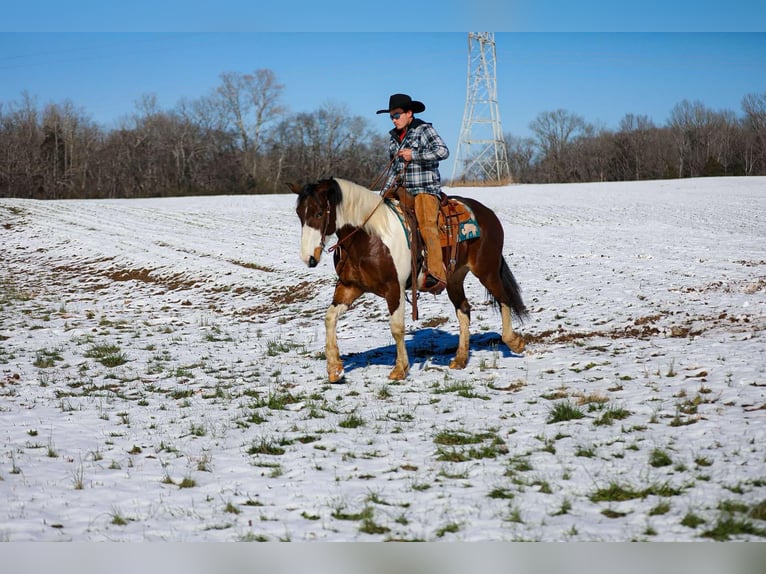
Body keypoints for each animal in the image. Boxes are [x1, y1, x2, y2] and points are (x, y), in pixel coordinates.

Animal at [288, 178, 528, 384]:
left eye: (319, 212)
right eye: (299, 214)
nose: (308, 258)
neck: (370, 237)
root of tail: (488, 213)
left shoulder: (394, 288)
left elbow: (396, 328)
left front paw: (400, 369)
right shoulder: (350, 287)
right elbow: (329, 319)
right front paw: (335, 369)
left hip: (487, 270)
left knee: (504, 298)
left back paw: (514, 342)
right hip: (454, 278)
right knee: (464, 310)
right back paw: (460, 359)